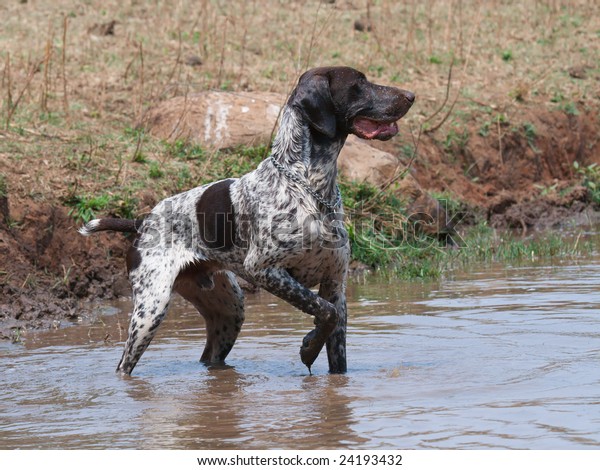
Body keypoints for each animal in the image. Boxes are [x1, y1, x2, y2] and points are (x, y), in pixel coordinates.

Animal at [79, 65, 412, 374]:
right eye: (359, 84)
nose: (411, 95)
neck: (310, 187)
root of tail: (142, 221)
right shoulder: (265, 270)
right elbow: (325, 312)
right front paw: (309, 348)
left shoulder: (335, 283)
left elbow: (332, 328)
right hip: (151, 309)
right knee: (124, 365)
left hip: (230, 311)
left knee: (210, 356)